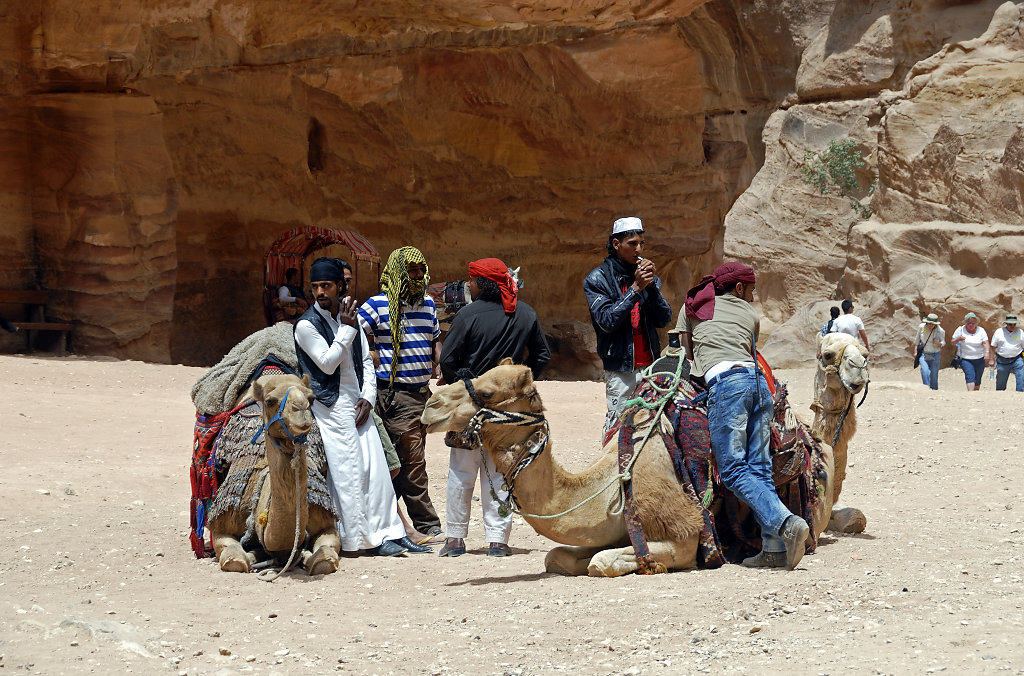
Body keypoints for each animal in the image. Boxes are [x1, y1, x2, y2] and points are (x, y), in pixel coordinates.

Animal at [205, 372, 342, 573]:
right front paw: (252, 556)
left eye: (311, 398)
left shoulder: (325, 523)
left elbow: (324, 560)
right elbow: (234, 560)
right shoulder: (224, 524)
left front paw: (306, 557)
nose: (301, 409)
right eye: (270, 401)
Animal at [419, 358, 835, 577]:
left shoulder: (686, 535)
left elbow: (601, 562)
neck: (611, 483)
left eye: (487, 392)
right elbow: (558, 556)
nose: (430, 405)